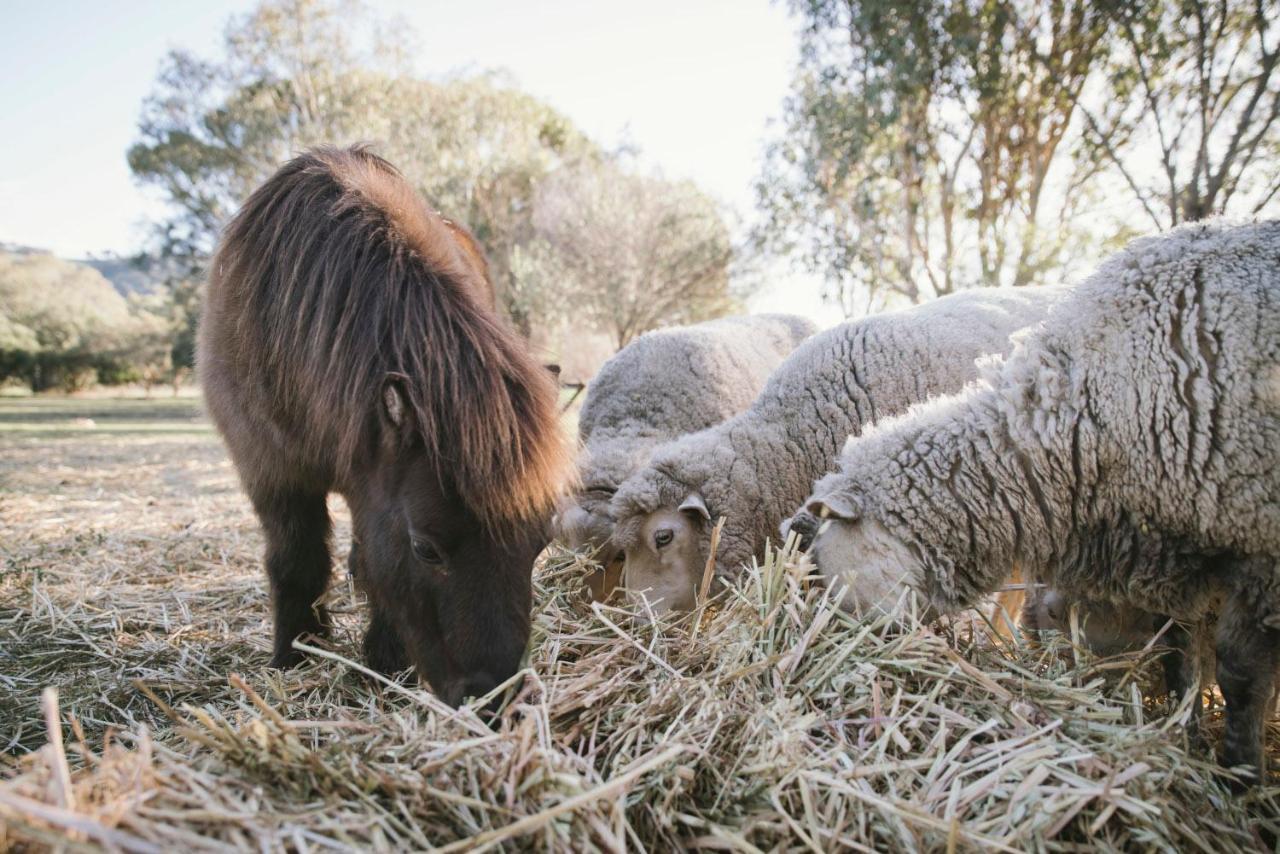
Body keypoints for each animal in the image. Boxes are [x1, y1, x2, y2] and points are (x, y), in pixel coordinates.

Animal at [198, 147, 570, 706]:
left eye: (540, 544)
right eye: (426, 548)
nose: (494, 700)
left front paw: (385, 662)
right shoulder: (269, 471)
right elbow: (296, 562)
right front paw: (294, 654)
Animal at [793, 218, 1274, 783]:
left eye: (827, 564)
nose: (831, 646)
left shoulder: (1259, 554)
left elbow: (1239, 673)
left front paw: (1242, 773)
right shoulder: (1177, 552)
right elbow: (1179, 652)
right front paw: (1185, 732)